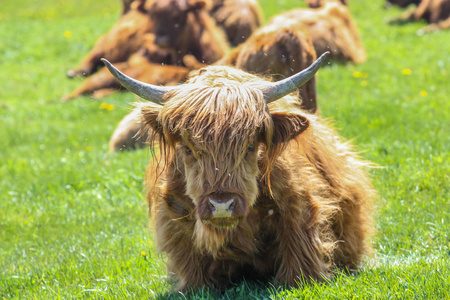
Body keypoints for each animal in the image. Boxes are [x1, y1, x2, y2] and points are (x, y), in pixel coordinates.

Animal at [103, 52, 376, 290]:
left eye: (251, 146)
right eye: (189, 149)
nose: (221, 205)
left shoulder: (299, 204)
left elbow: (298, 251)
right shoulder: (174, 213)